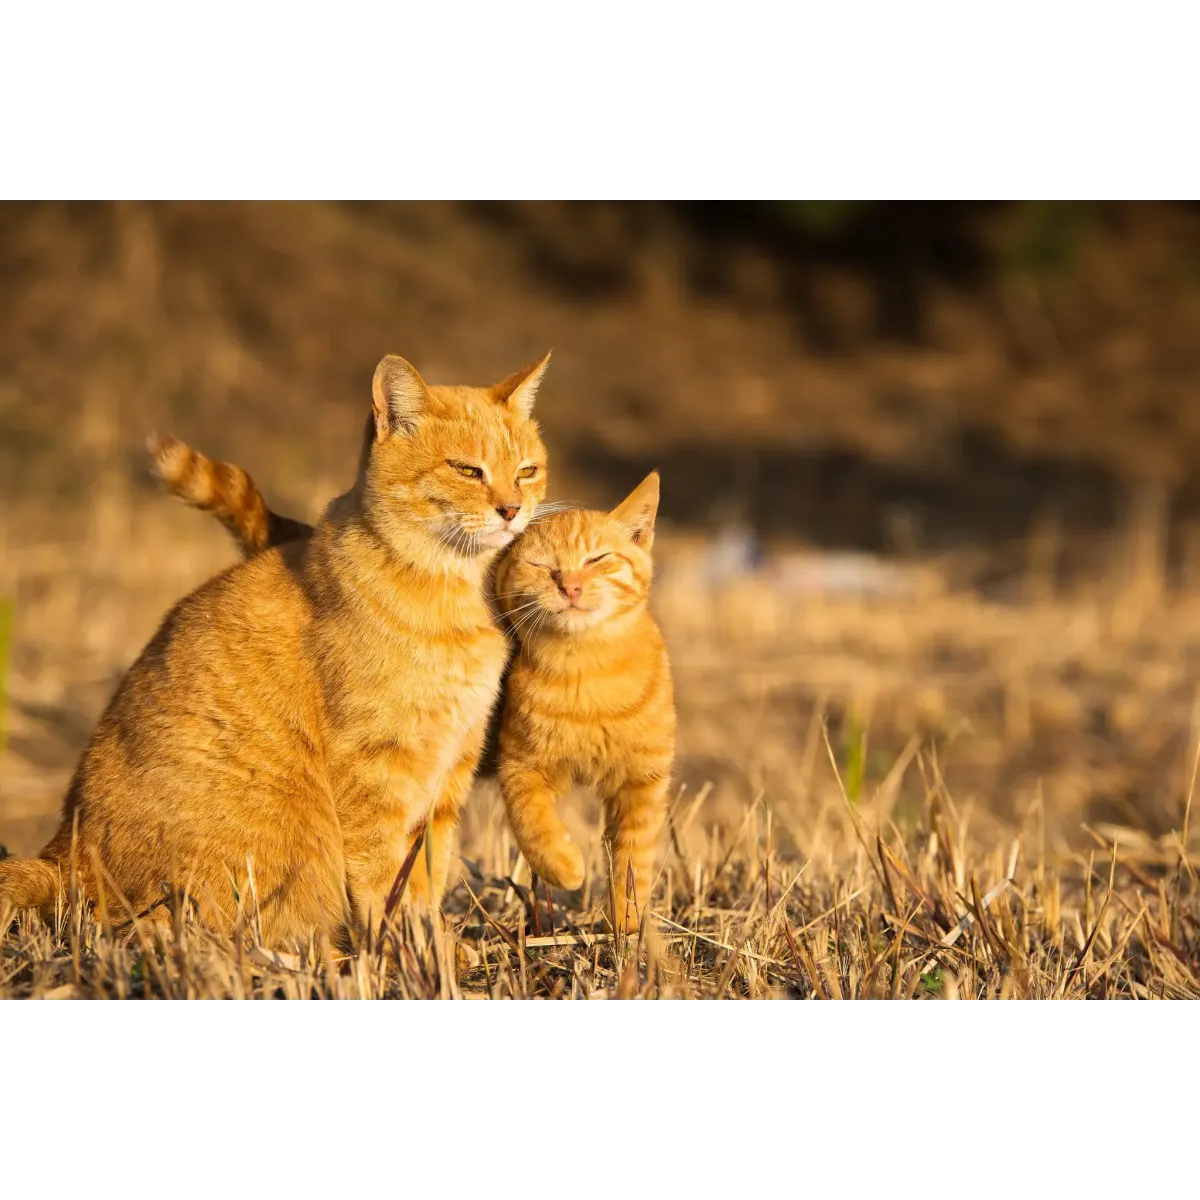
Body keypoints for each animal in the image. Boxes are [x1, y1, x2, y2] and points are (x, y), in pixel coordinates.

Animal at [0, 355, 549, 945]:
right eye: (467, 470)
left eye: (526, 471)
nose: (512, 509)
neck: (462, 598)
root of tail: (60, 855)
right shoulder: (376, 771)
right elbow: (384, 880)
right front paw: (403, 948)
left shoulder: (451, 772)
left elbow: (428, 873)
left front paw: (436, 945)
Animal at [489, 472, 676, 931]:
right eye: (541, 566)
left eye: (597, 559)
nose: (570, 586)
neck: (586, 678)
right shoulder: (518, 767)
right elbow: (532, 822)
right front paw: (564, 865)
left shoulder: (641, 782)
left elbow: (632, 860)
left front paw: (626, 926)